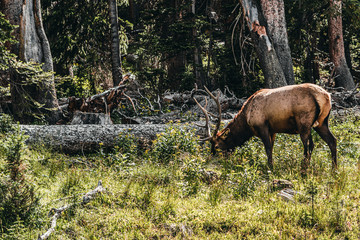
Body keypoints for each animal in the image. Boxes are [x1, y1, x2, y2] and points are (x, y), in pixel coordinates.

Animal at [194, 83, 338, 172]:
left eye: (217, 146)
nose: (211, 159)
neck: (246, 118)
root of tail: (326, 96)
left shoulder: (262, 126)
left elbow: (268, 148)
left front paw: (271, 168)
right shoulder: (273, 130)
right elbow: (272, 148)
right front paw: (271, 165)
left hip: (304, 122)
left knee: (308, 145)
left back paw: (304, 168)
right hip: (321, 122)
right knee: (332, 140)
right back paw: (334, 169)